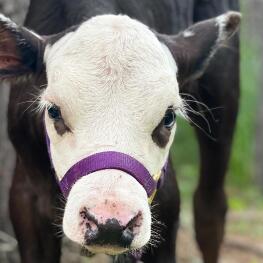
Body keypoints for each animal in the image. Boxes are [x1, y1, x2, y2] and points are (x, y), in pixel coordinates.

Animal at [0, 0, 241, 263]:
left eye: (168, 117)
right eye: (54, 111)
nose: (110, 223)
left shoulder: (165, 198)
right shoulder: (27, 195)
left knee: (210, 207)